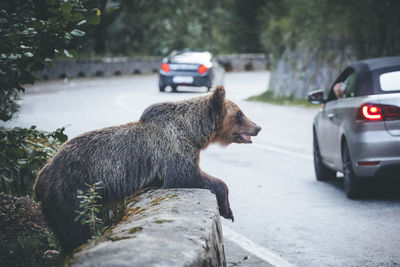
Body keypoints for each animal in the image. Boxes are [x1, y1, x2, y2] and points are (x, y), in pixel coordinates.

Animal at [34, 87, 262, 254]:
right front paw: (227, 210)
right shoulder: (173, 149)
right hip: (73, 190)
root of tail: (41, 176)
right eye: (239, 114)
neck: (193, 132)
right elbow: (187, 176)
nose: (258, 127)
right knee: (75, 228)